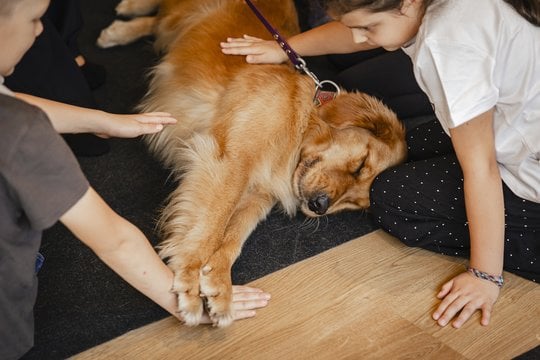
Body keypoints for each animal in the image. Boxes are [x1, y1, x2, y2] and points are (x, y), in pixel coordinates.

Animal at [99, 0, 408, 328]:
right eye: (360, 164)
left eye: (356, 204)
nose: (320, 206)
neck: (298, 126)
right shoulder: (231, 162)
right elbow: (213, 223)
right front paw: (191, 277)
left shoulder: (260, 193)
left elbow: (234, 235)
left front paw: (219, 285)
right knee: (159, 15)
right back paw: (127, 17)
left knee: (159, 24)